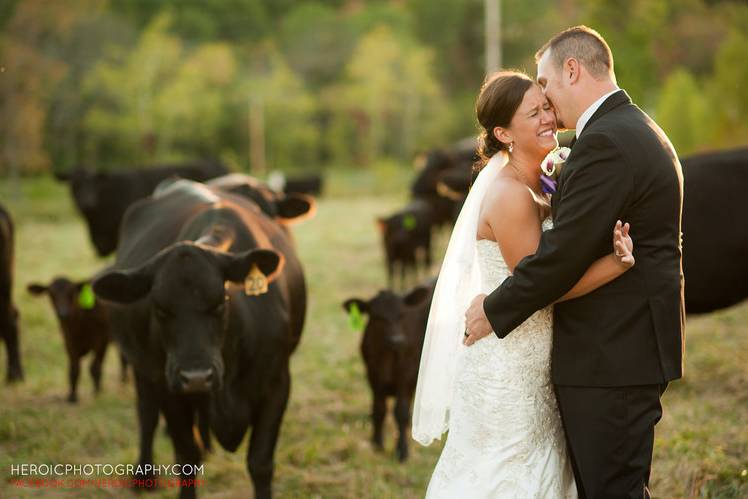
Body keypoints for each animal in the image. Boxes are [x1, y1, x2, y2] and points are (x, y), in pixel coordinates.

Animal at [92, 180, 308, 499]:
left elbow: (260, 463)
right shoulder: (168, 386)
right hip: (143, 369)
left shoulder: (277, 382)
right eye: (160, 308)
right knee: (147, 414)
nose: (196, 377)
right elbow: (186, 457)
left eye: (220, 302)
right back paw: (144, 475)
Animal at [342, 280, 436, 462]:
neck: (386, 359)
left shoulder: (406, 377)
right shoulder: (373, 376)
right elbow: (378, 410)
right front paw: (376, 444)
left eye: (402, 314)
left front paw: (402, 450)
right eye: (377, 317)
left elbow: (401, 413)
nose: (396, 340)